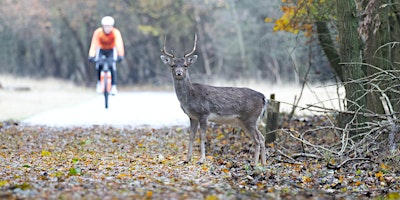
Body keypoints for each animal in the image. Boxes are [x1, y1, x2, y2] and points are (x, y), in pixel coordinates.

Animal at [161, 34, 268, 166]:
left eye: (185, 65)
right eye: (173, 65)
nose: (179, 73)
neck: (189, 98)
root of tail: (263, 97)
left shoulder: (203, 113)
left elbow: (202, 136)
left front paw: (201, 160)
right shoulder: (192, 116)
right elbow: (191, 136)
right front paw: (187, 159)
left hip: (250, 118)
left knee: (257, 139)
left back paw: (255, 163)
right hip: (246, 121)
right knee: (262, 138)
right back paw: (263, 163)